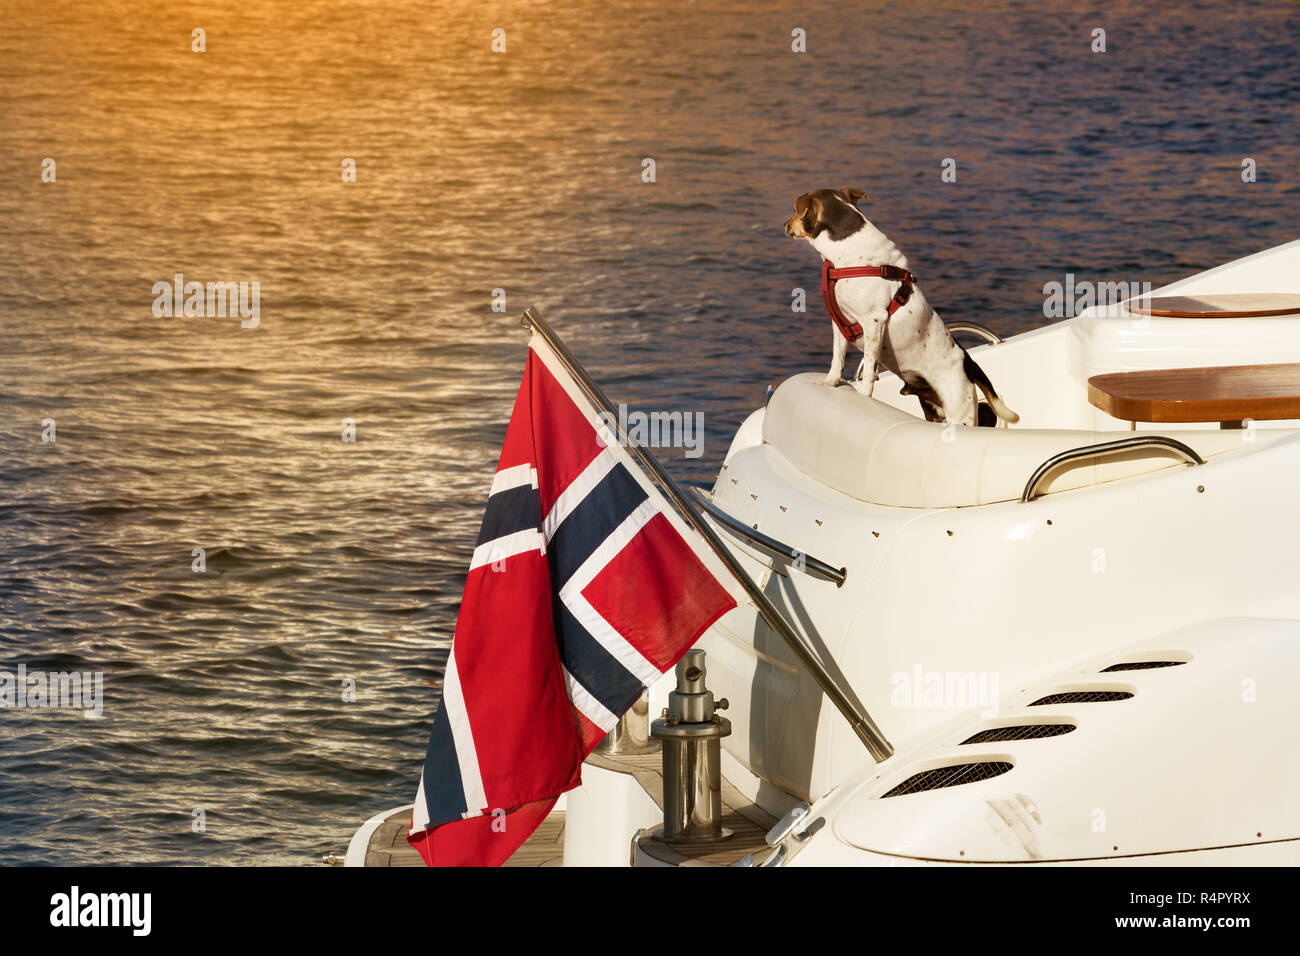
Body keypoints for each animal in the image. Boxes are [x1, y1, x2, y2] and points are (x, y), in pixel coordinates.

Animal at [780, 188, 1013, 429]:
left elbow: (869, 368)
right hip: (932, 410)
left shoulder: (874, 321)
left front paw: (863, 394)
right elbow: (838, 358)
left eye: (795, 211)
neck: (848, 253)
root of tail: (968, 362)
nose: (785, 224)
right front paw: (830, 382)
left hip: (960, 413)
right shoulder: (840, 321)